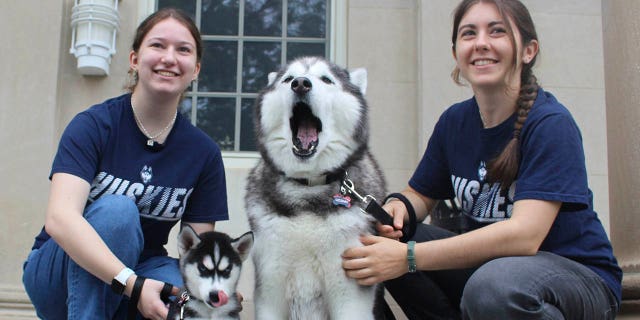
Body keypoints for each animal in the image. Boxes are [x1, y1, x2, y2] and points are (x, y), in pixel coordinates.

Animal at [245, 57, 384, 320]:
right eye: (288, 79)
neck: (308, 187)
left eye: (326, 79)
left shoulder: (350, 294)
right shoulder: (270, 287)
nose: (300, 84)